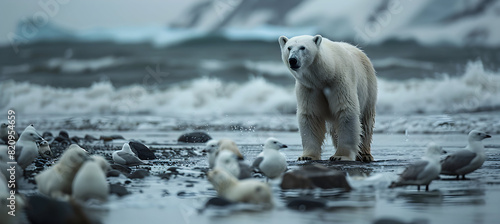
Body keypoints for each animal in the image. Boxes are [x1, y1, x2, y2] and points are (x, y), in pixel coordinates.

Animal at [280, 34, 376, 162]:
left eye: (303, 47)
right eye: (289, 48)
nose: (293, 60)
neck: (325, 74)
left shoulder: (339, 81)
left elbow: (345, 110)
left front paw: (340, 156)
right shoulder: (309, 88)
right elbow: (310, 115)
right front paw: (307, 156)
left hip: (368, 87)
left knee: (366, 121)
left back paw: (365, 154)